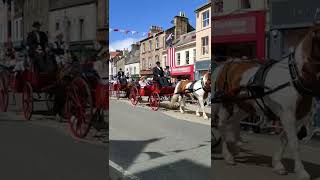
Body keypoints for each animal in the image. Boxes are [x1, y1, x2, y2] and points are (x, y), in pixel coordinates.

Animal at [212, 23, 320, 179]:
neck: (294, 76)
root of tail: (226, 63)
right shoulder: (288, 115)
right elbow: (294, 142)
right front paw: (301, 171)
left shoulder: (299, 117)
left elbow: (284, 139)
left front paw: (277, 164)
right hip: (227, 102)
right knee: (222, 125)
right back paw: (228, 156)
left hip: (246, 105)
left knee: (234, 121)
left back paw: (236, 146)